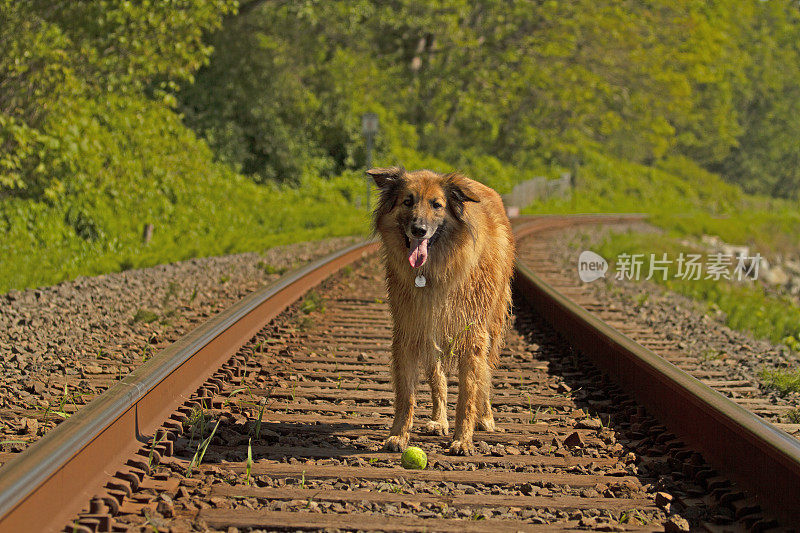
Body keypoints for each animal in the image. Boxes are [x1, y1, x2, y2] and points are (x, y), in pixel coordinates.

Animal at [368, 166, 516, 454]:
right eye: (408, 201)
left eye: (437, 204)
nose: (419, 230)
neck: (433, 270)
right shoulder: (411, 330)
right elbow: (407, 394)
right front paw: (399, 435)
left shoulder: (473, 335)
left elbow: (469, 390)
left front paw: (463, 439)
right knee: (438, 379)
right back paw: (439, 420)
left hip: (492, 326)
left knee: (485, 375)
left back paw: (485, 416)